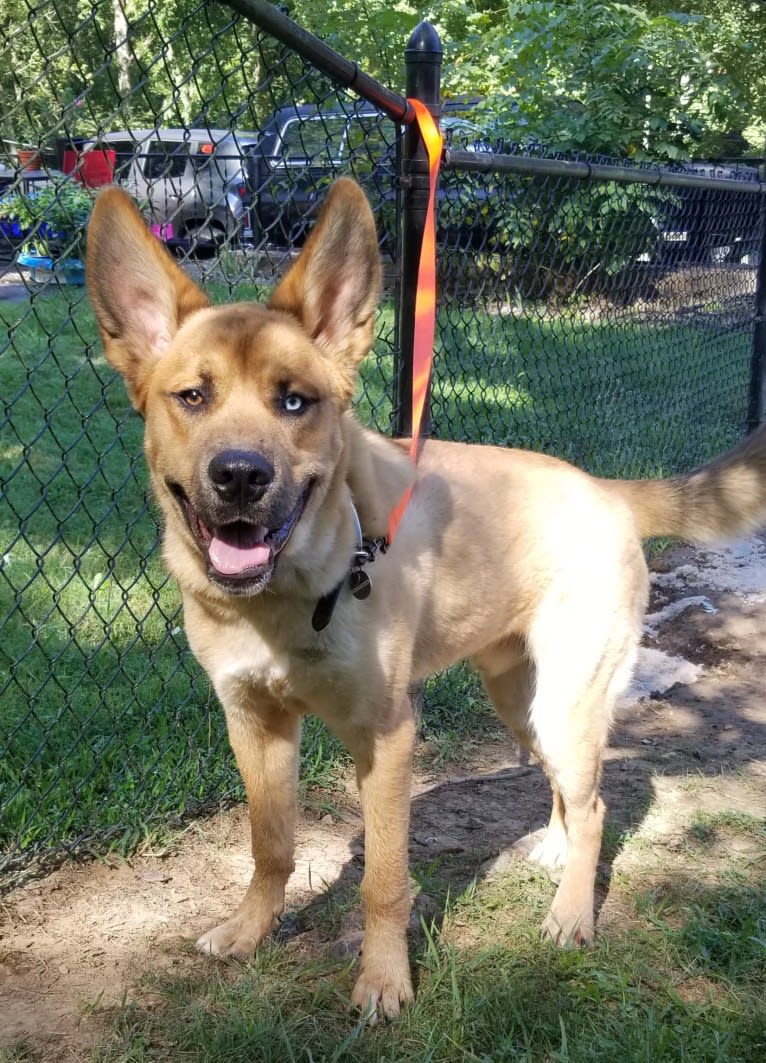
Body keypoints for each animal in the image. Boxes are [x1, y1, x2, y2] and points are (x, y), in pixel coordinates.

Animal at [86, 178, 764, 1016]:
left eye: (295, 402)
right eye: (192, 396)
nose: (240, 475)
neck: (290, 593)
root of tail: (609, 490)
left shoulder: (386, 736)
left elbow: (383, 877)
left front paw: (383, 978)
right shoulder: (252, 720)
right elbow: (270, 843)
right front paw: (250, 930)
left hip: (565, 703)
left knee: (596, 802)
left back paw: (573, 912)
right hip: (520, 700)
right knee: (571, 792)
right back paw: (554, 848)